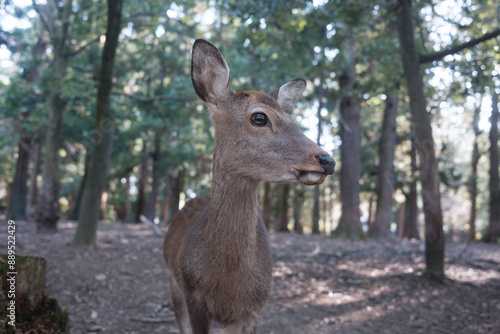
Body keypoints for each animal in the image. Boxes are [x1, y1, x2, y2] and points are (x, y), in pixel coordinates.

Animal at [165, 39, 336, 334]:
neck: (229, 284)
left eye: (292, 121)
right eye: (259, 118)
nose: (327, 160)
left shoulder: (254, 309)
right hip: (172, 281)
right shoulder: (192, 294)